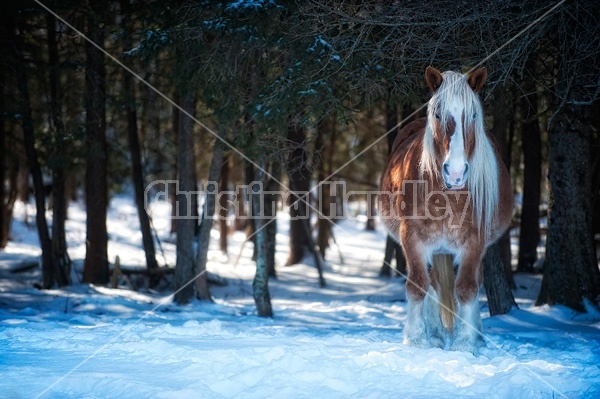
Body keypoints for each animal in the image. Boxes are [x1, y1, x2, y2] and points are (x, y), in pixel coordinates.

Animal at [380, 67, 510, 354]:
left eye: (473, 115)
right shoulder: (412, 237)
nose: (456, 172)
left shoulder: (475, 241)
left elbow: (467, 289)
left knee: (471, 283)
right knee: (433, 285)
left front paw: (465, 343)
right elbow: (418, 286)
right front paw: (417, 339)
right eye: (438, 114)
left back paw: (476, 335)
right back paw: (437, 334)